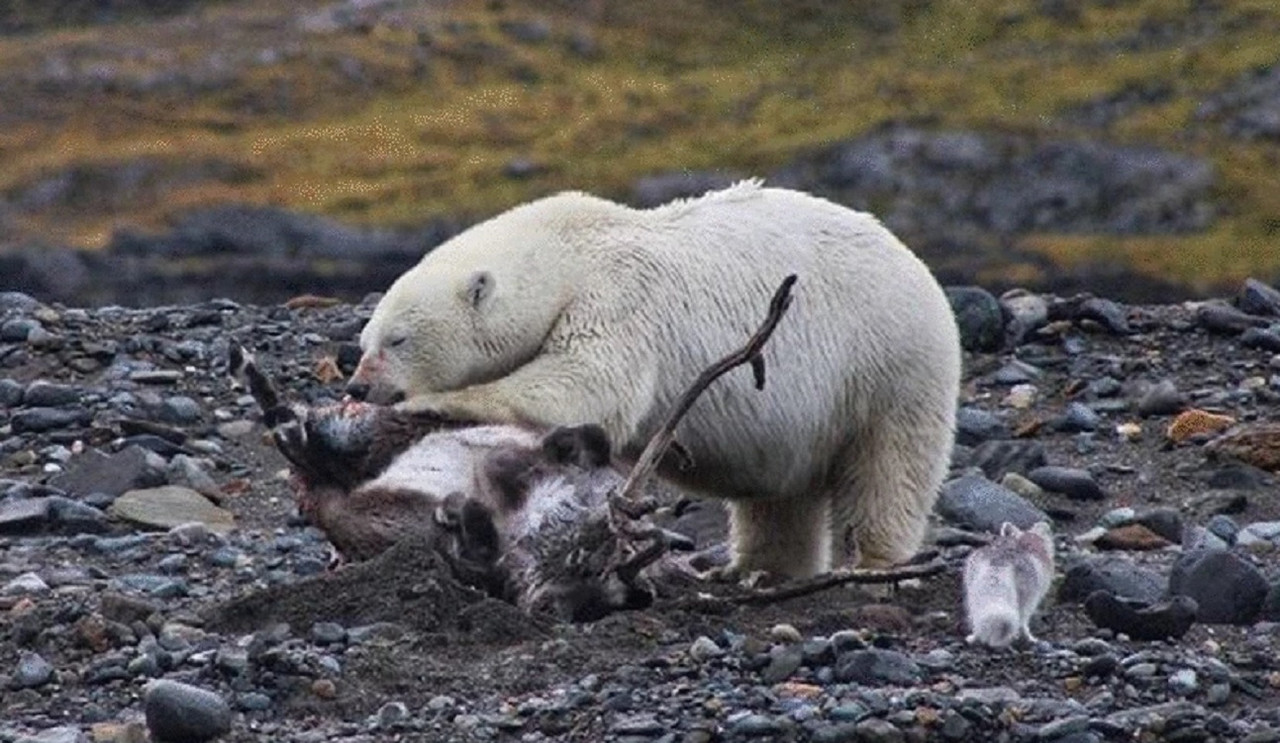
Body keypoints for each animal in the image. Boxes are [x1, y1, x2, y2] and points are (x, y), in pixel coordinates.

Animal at [350, 178, 962, 581]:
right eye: (365, 341)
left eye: (397, 340)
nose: (357, 387)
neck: (567, 253)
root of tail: (917, 265)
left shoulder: (618, 299)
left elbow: (586, 382)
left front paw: (434, 402)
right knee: (780, 497)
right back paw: (753, 569)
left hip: (890, 366)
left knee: (890, 469)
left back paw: (874, 560)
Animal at [962, 520, 1054, 648]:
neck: (1026, 539)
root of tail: (999, 560)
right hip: (1028, 595)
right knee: (1022, 619)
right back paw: (1027, 638)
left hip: (972, 589)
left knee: (976, 617)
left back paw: (973, 637)